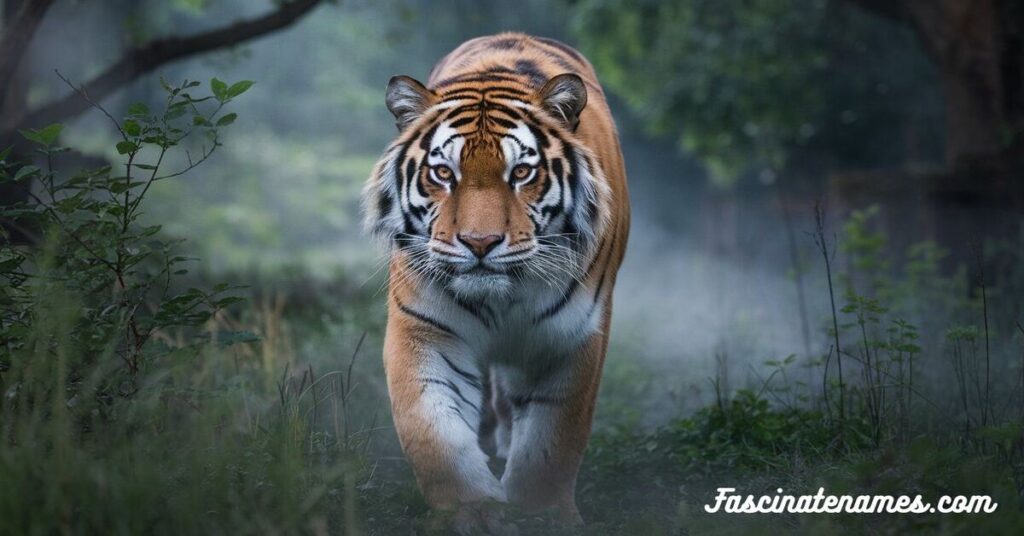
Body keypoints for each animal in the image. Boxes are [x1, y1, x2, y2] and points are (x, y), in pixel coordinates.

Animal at [364, 33, 626, 532]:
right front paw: (473, 511)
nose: (479, 242)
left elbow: (552, 442)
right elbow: (434, 431)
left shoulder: (573, 336)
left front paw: (541, 514)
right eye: (443, 173)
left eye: (521, 173)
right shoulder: (424, 329)